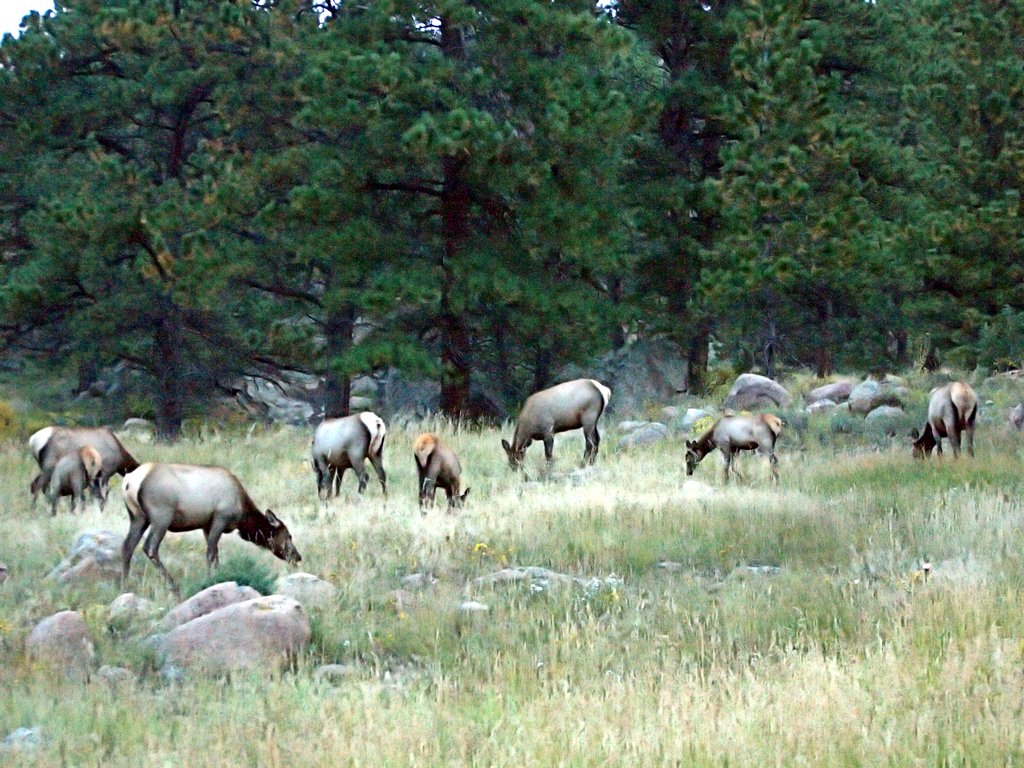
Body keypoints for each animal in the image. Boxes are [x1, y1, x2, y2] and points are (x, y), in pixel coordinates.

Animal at [120, 462, 299, 593]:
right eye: (289, 536)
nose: (298, 557)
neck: (242, 515)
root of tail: (129, 481)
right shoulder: (220, 518)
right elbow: (210, 553)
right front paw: (210, 579)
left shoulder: (206, 525)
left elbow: (215, 553)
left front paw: (220, 575)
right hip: (161, 516)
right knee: (150, 547)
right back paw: (173, 586)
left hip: (138, 517)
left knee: (127, 546)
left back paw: (124, 584)